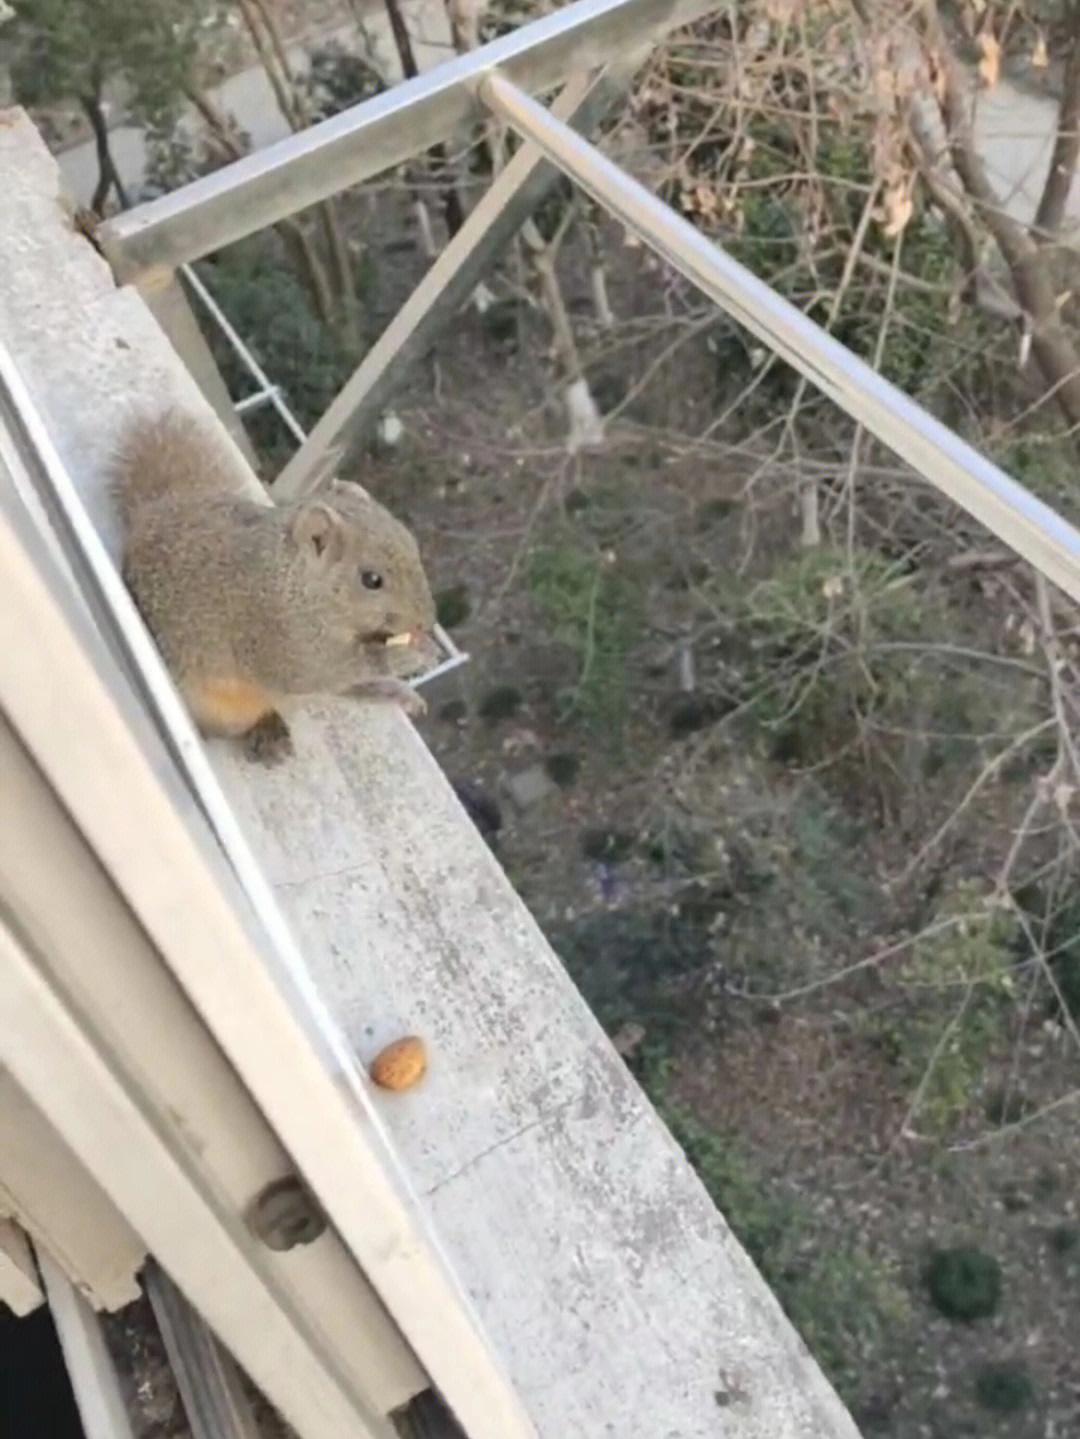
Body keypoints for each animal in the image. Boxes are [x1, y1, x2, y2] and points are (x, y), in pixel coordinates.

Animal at [114, 411, 440, 759]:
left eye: (412, 544)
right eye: (371, 580)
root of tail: (149, 515)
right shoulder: (278, 637)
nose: (427, 621)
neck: (295, 587)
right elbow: (324, 672)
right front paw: (402, 658)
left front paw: (418, 666)